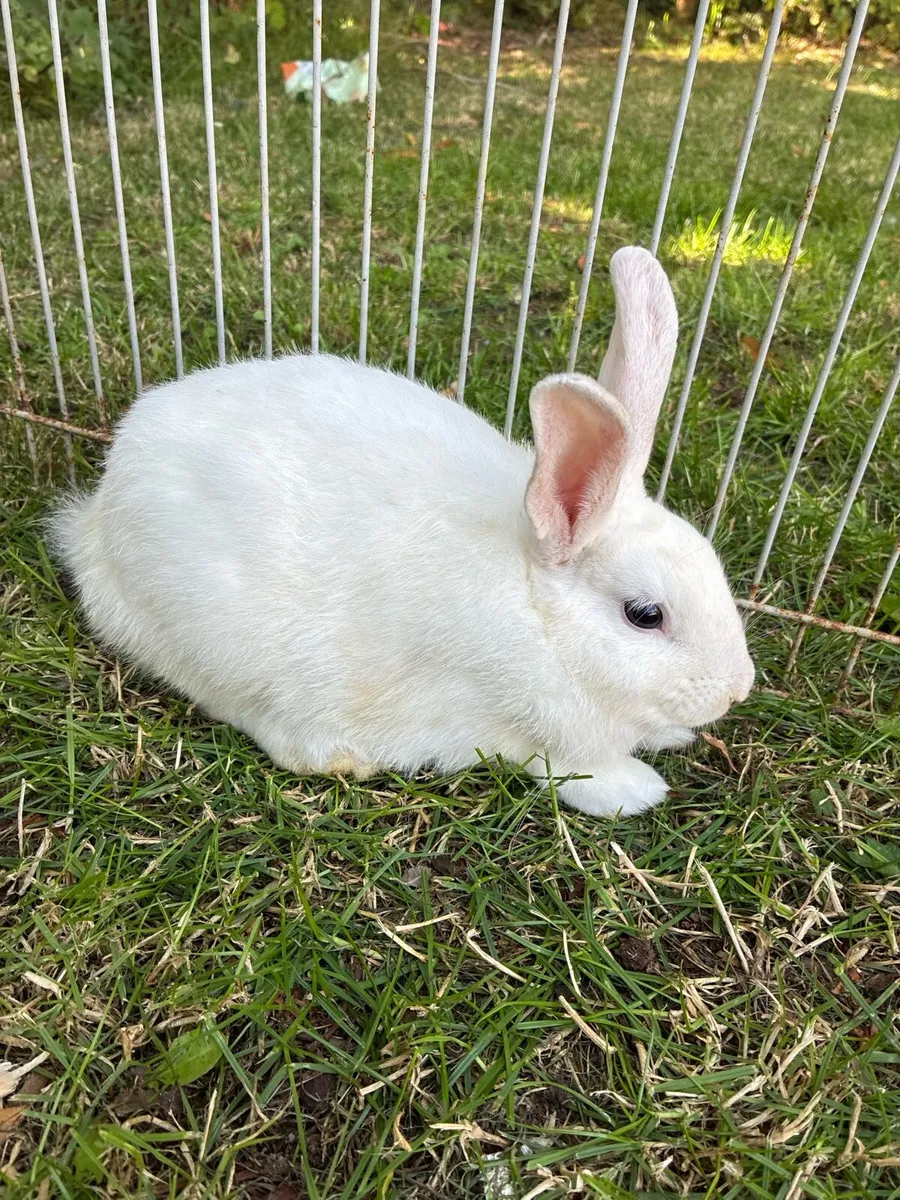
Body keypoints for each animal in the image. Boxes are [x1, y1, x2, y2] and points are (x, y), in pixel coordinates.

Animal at [50, 246, 754, 817]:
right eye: (644, 614)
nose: (737, 689)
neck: (536, 610)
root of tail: (98, 519)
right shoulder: (516, 723)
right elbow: (565, 767)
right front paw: (636, 789)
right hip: (228, 647)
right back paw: (345, 758)